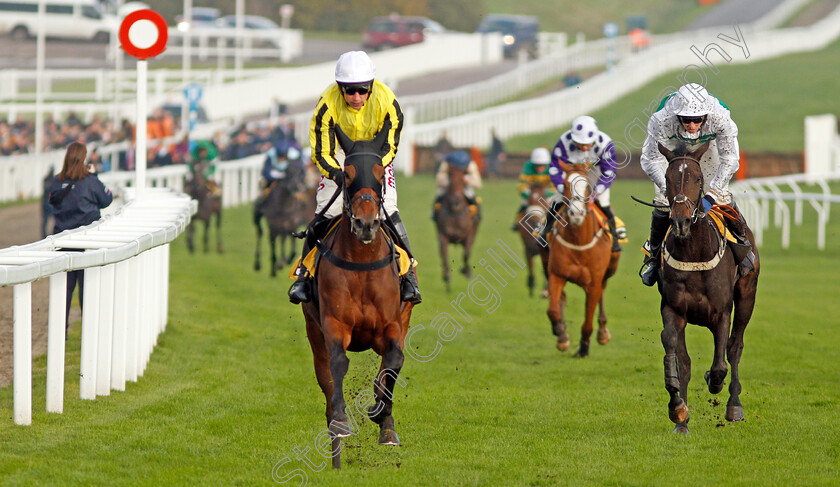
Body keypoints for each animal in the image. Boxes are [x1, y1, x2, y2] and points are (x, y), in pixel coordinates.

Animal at [300, 126, 416, 468]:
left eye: (378, 173)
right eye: (348, 174)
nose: (366, 223)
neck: (363, 261)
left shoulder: (392, 325)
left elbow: (394, 362)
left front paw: (382, 417)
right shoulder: (333, 324)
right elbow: (338, 363)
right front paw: (341, 421)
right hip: (313, 332)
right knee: (326, 378)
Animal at [434, 162, 480, 292]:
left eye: (463, 178)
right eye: (450, 175)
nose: (455, 202)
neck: (455, 212)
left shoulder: (468, 235)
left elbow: (466, 254)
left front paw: (466, 271)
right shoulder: (443, 235)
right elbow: (444, 255)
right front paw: (447, 277)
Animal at [548, 162, 620, 356]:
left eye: (587, 186)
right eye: (565, 185)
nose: (576, 214)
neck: (579, 242)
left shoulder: (594, 283)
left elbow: (588, 321)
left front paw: (584, 348)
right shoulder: (556, 275)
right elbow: (552, 310)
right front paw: (560, 332)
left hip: (609, 270)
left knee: (603, 292)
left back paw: (602, 332)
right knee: (561, 299)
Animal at [656, 141, 760, 434]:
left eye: (698, 178)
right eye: (667, 177)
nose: (680, 221)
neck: (694, 253)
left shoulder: (721, 313)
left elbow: (720, 363)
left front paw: (715, 382)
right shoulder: (673, 309)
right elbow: (677, 355)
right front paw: (678, 411)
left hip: (747, 296)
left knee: (735, 347)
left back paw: (734, 405)